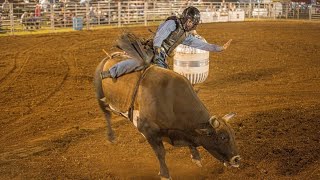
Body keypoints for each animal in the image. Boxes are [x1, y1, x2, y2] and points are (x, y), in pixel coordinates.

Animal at [92, 37, 240, 179]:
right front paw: (165, 174)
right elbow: (161, 153)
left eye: (233, 134)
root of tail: (108, 58)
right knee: (106, 114)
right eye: (222, 137)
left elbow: (190, 144)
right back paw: (111, 136)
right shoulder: (148, 130)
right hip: (100, 94)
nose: (237, 159)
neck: (171, 101)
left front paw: (196, 157)